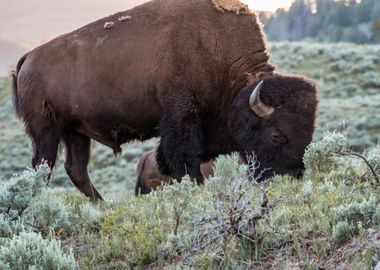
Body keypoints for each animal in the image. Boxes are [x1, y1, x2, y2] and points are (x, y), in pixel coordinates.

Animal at [11, 0, 318, 200]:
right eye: (277, 135)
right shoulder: (181, 116)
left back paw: (101, 205)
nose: (293, 176)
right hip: (47, 131)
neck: (213, 46)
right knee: (42, 167)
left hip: (76, 132)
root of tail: (29, 57)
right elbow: (185, 158)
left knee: (76, 169)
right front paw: (196, 189)